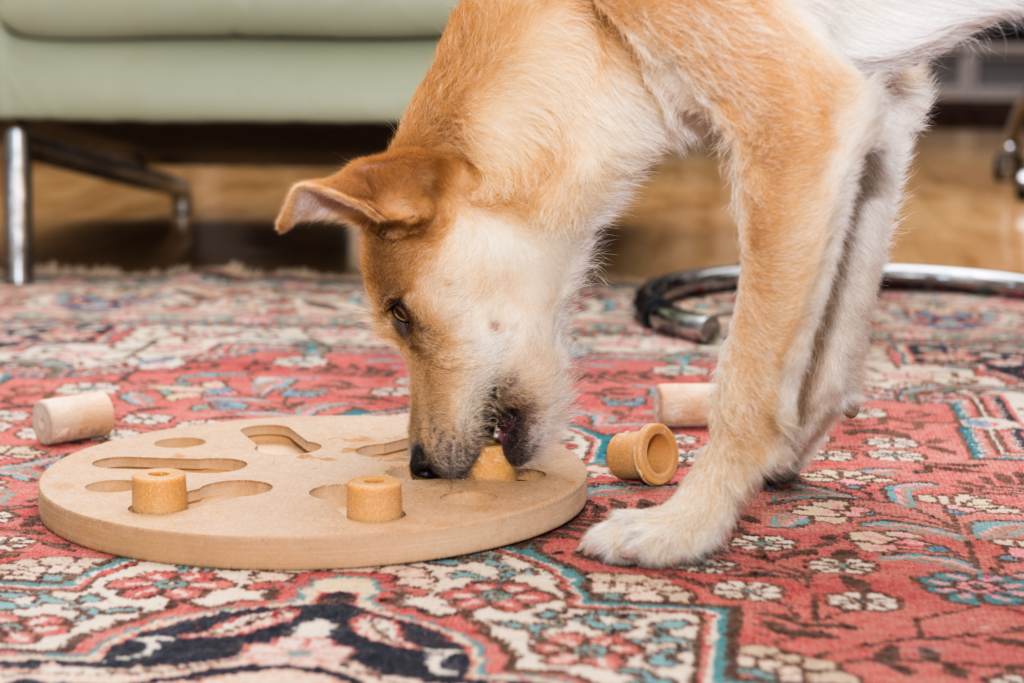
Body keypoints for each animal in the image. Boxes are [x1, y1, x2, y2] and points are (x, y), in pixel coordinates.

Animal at [272, 0, 1024, 573]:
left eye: (400, 315)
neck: (588, 24)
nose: (421, 467)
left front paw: (687, 526)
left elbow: (746, 386)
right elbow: (829, 353)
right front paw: (785, 454)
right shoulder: (881, 124)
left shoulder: (799, 120)